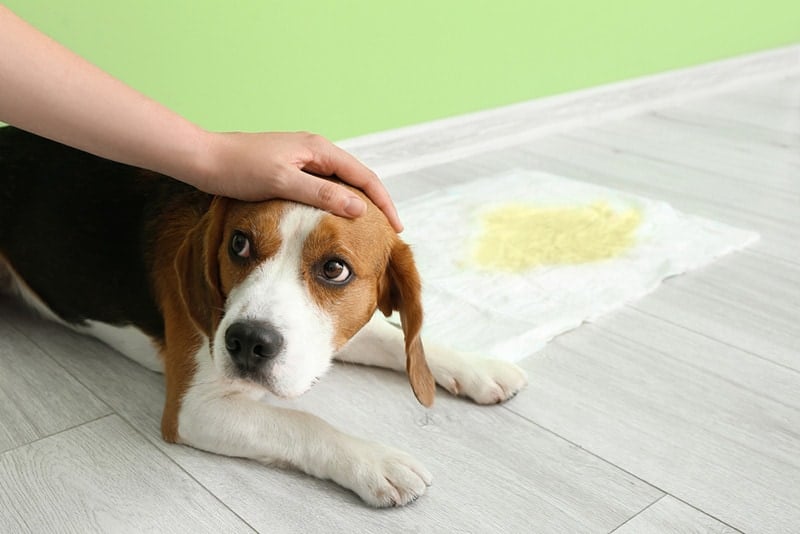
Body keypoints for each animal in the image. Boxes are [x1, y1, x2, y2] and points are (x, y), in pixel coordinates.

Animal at [0, 127, 528, 508]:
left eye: (335, 269)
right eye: (239, 243)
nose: (247, 342)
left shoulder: (323, 339)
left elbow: (396, 337)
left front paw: (477, 366)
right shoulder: (193, 411)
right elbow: (303, 423)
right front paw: (373, 461)